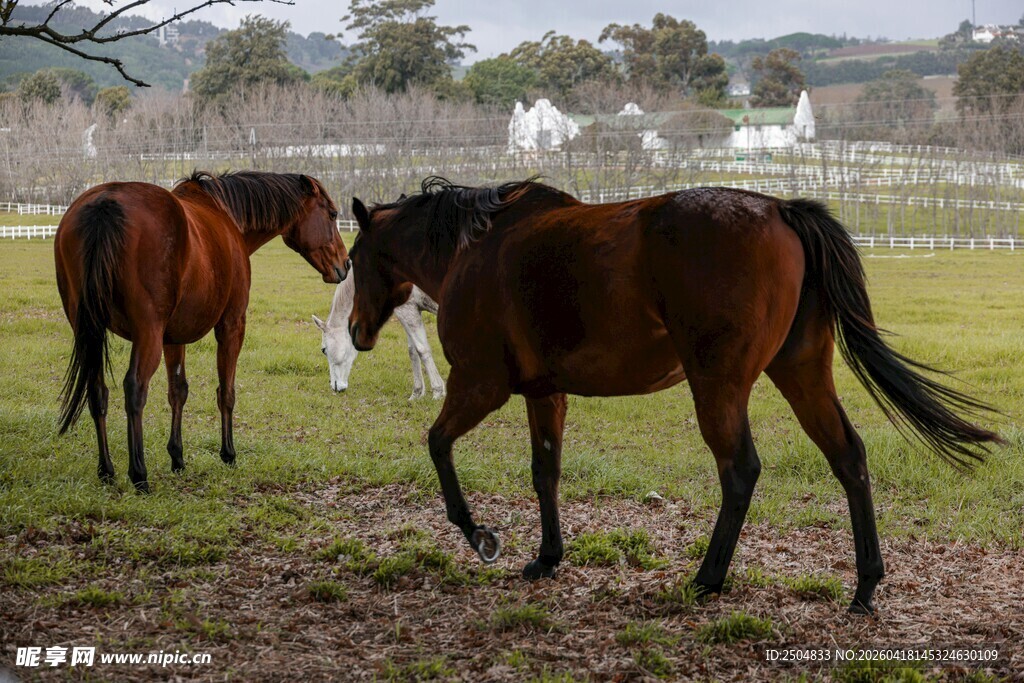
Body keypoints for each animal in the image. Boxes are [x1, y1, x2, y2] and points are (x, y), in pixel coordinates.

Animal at [55, 170, 350, 492]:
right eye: (332, 213)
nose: (345, 264)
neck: (227, 217)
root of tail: (105, 204)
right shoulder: (232, 325)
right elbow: (226, 391)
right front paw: (228, 453)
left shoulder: (173, 338)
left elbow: (178, 391)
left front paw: (177, 457)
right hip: (146, 335)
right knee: (134, 389)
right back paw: (139, 474)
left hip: (91, 333)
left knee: (98, 392)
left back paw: (106, 470)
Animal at [313, 269, 445, 399]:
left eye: (323, 350)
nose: (335, 387)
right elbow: (413, 352)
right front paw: (416, 394)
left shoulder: (406, 309)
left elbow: (422, 350)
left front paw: (437, 392)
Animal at [347, 177, 1002, 614]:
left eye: (353, 257)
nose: (355, 331)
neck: (475, 248)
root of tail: (781, 210)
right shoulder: (544, 394)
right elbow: (545, 472)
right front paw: (547, 556)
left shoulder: (478, 385)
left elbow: (437, 446)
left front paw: (479, 535)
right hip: (801, 372)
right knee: (848, 457)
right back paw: (865, 586)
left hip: (719, 385)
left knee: (740, 470)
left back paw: (707, 578)